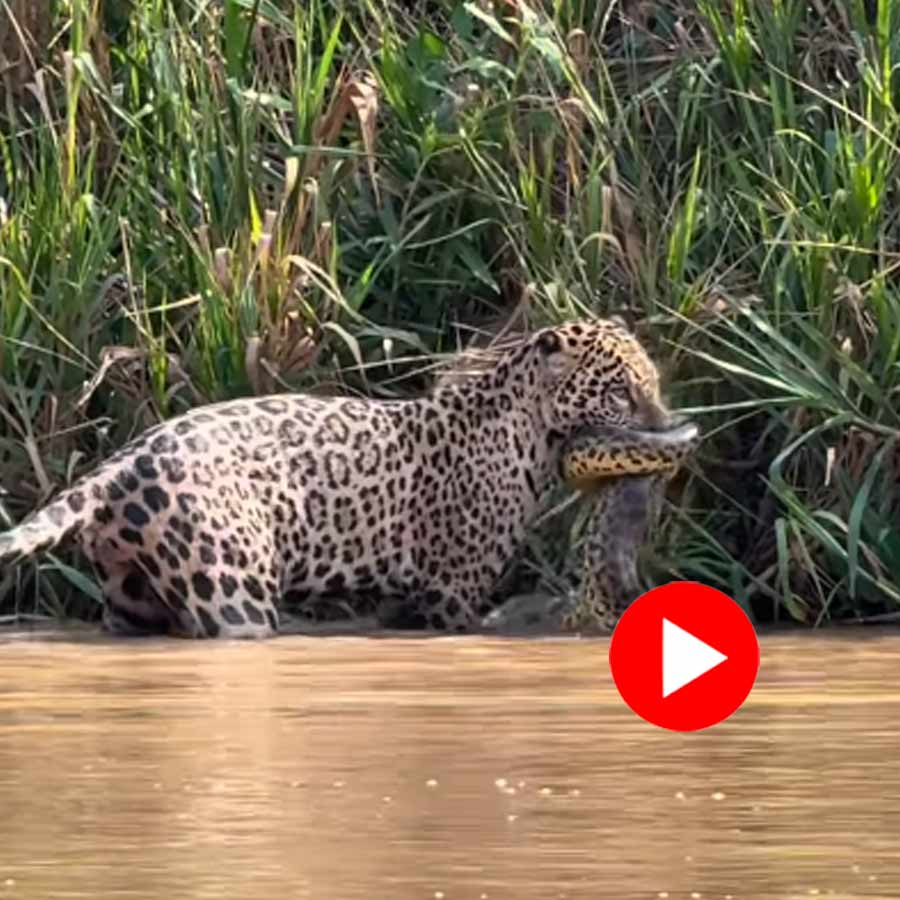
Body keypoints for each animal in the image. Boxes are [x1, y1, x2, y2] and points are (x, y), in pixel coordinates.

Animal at [0, 318, 692, 639]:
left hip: (131, 600)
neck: (526, 427)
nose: (669, 427)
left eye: (651, 384)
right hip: (231, 589)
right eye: (623, 391)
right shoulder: (452, 591)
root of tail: (120, 464)